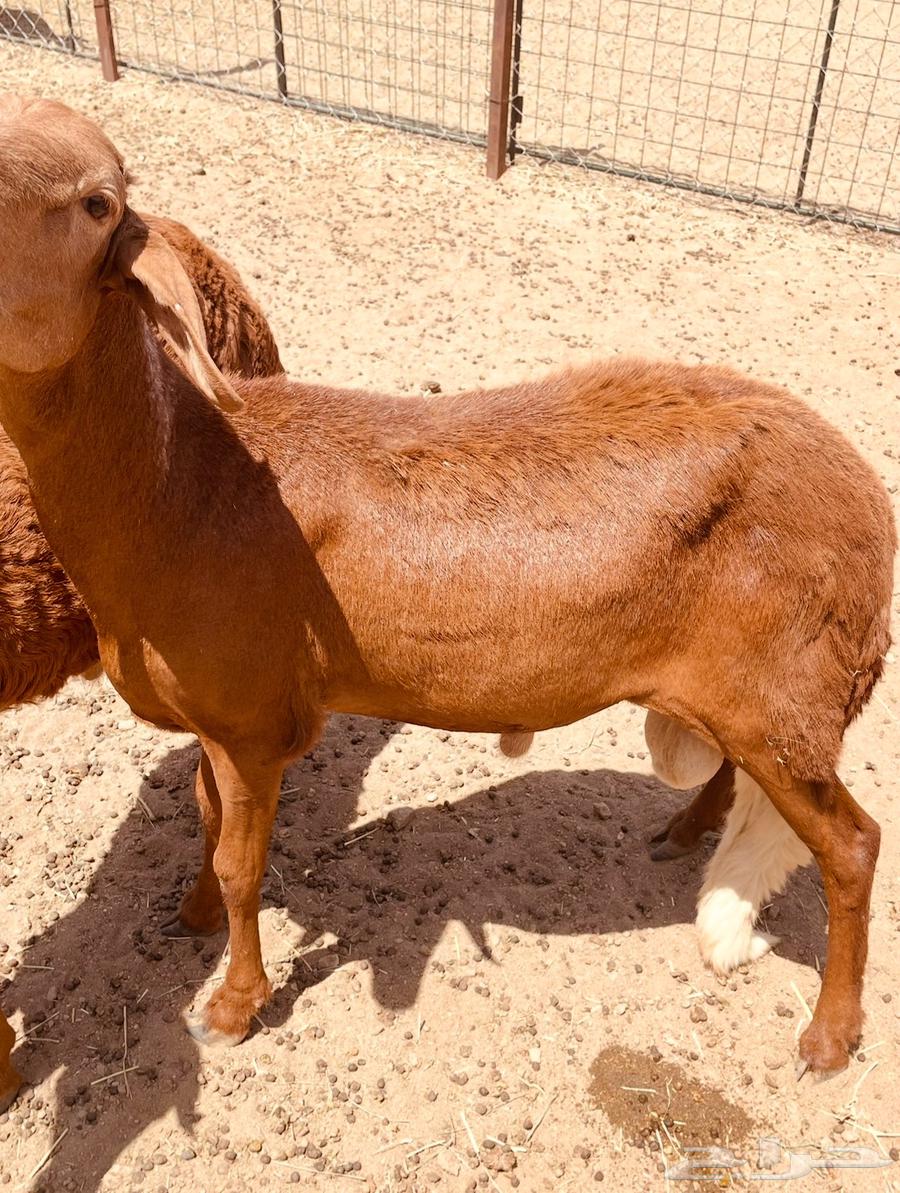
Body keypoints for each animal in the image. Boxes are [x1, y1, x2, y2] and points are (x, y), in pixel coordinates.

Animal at [0, 98, 894, 1089]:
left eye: (96, 202)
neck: (179, 488)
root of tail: (865, 495)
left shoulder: (253, 722)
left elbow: (241, 862)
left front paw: (231, 1007)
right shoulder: (216, 713)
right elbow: (204, 821)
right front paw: (190, 917)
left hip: (790, 694)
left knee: (852, 847)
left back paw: (829, 1036)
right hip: (744, 694)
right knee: (743, 776)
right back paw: (682, 832)